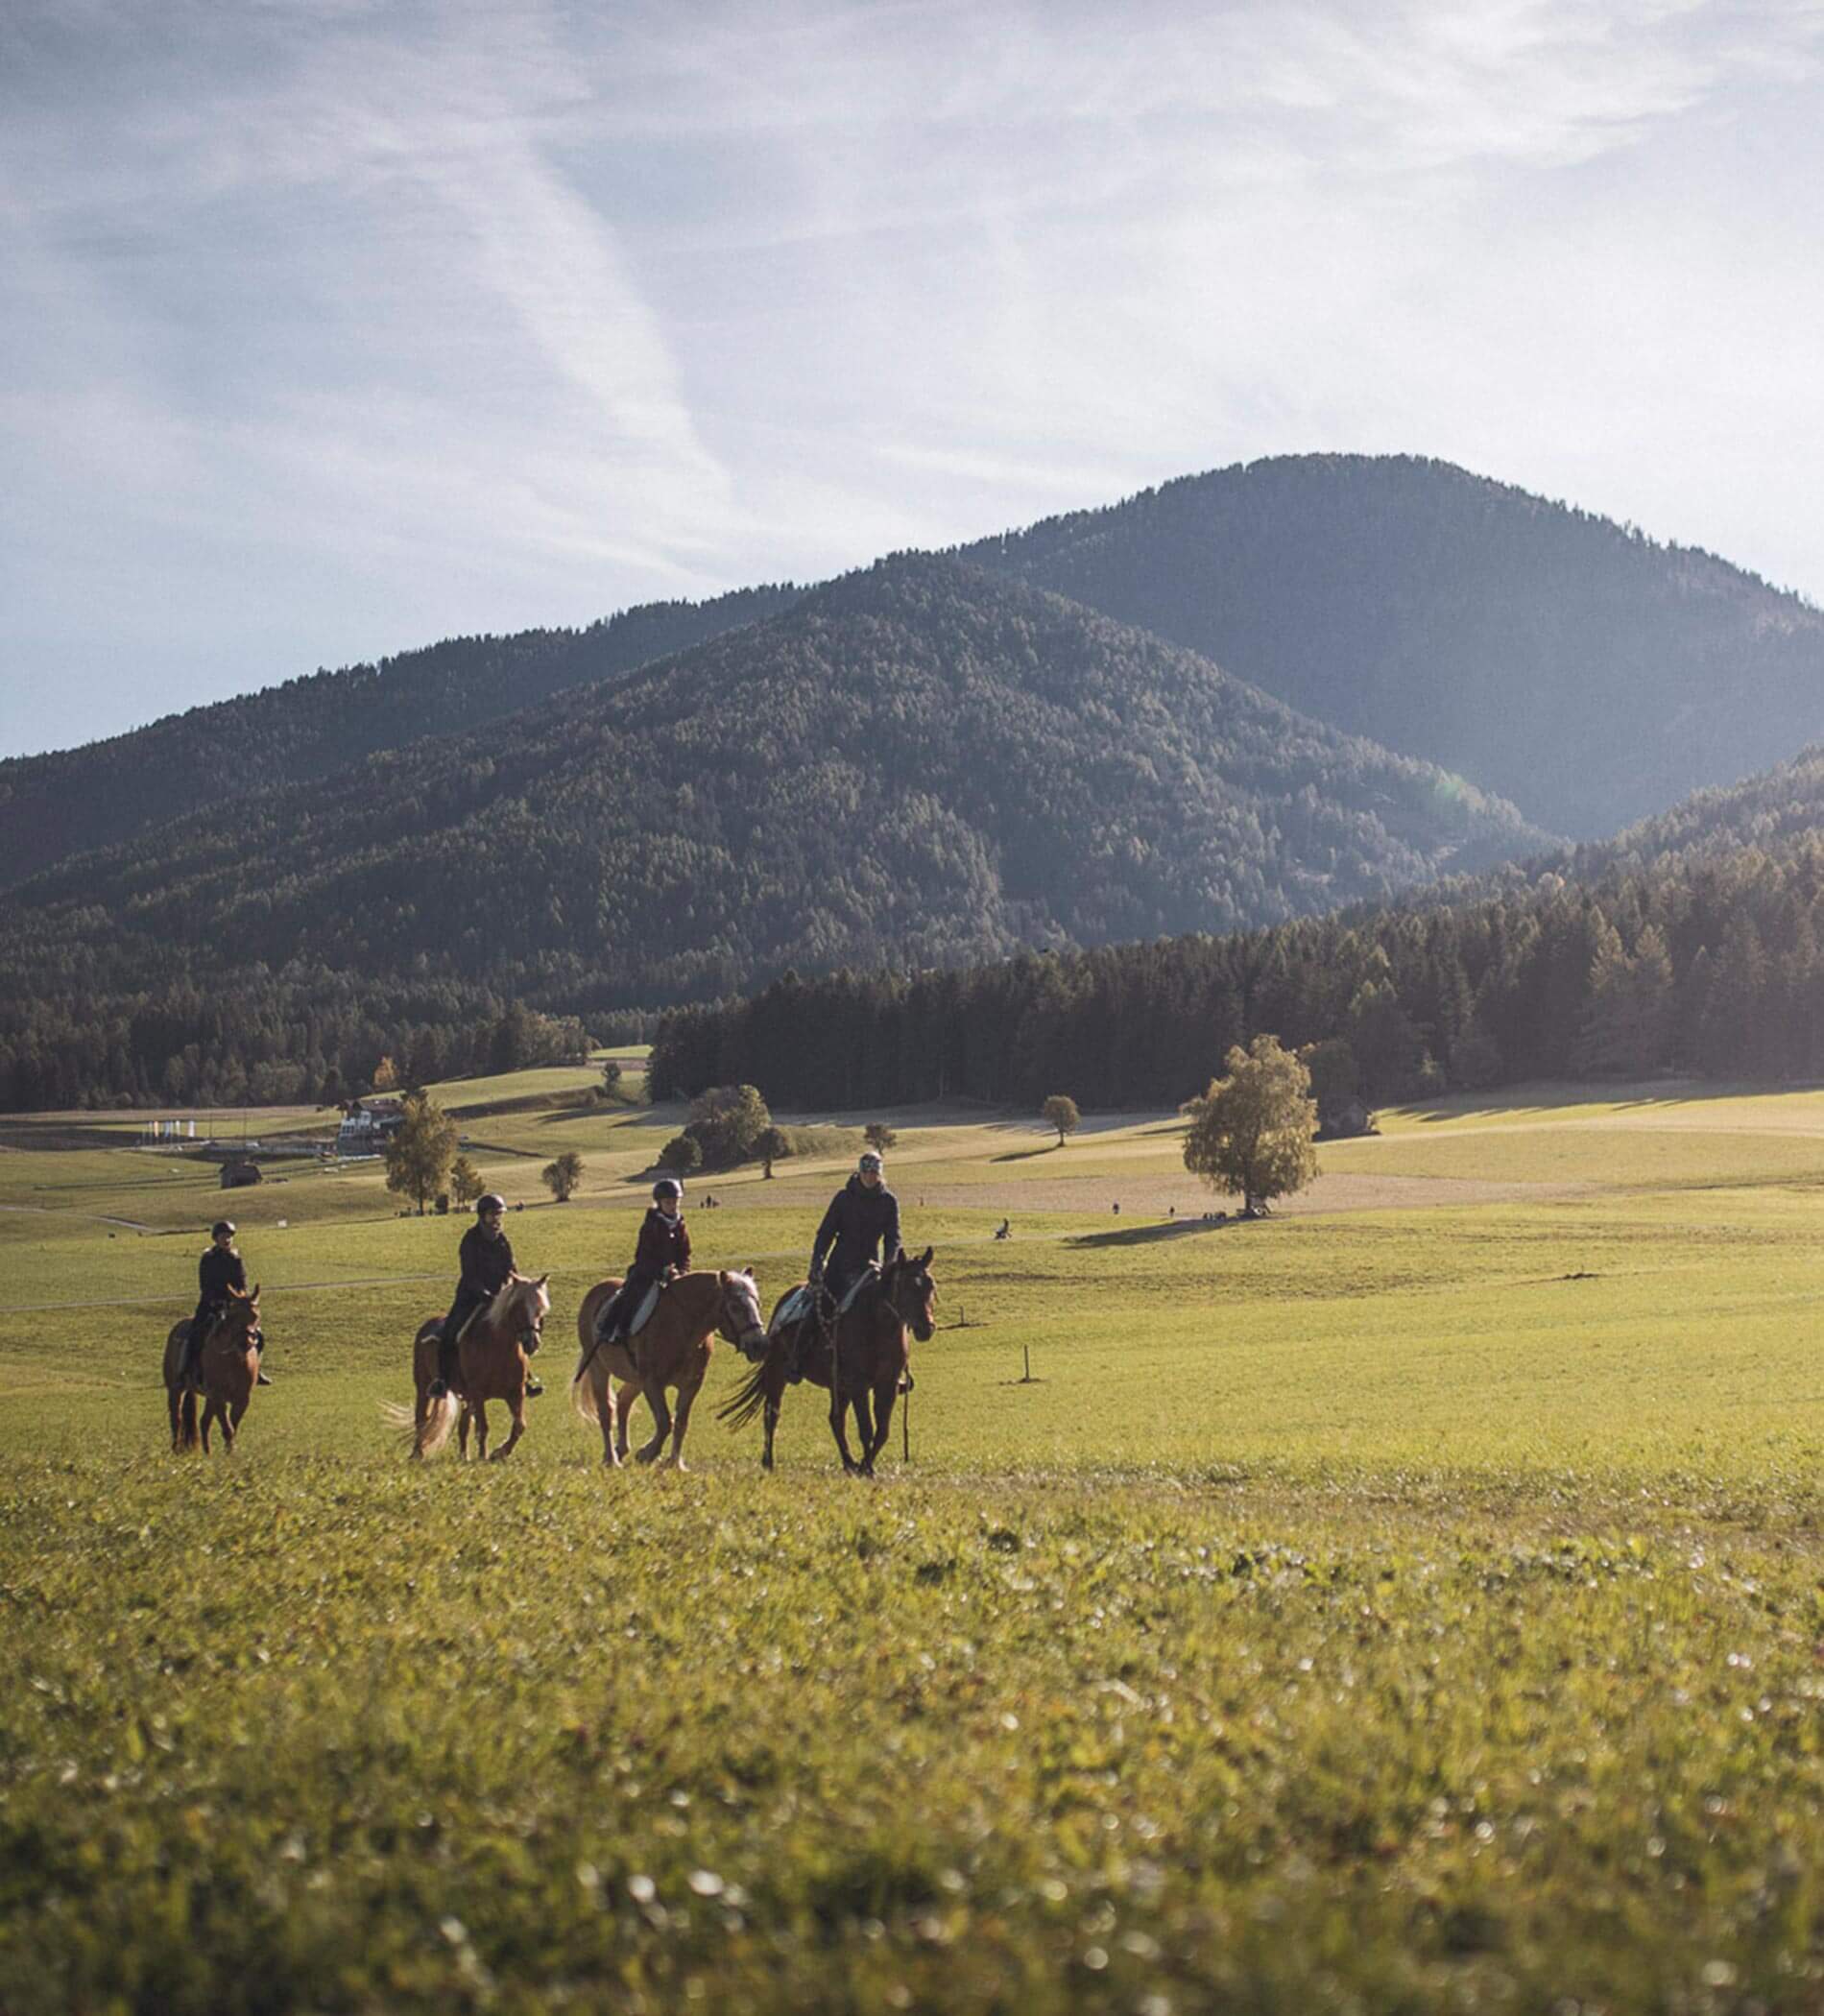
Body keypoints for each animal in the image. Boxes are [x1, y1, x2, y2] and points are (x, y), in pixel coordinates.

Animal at [162, 1284, 262, 1453]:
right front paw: (230, 1453)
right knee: (176, 1419)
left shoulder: (242, 1399)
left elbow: (232, 1426)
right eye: (233, 1315)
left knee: (204, 1421)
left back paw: (207, 1453)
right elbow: (228, 1428)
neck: (233, 1361)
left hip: (208, 1397)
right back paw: (176, 1449)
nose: (244, 1343)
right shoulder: (218, 1396)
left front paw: (230, 1452)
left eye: (255, 1315)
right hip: (176, 1390)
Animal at [404, 1272, 550, 1462]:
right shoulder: (478, 1394)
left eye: (541, 1309)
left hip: (467, 1397)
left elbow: (520, 1425)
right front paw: (483, 1456)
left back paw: (464, 1456)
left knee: (463, 1425)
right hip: (424, 1386)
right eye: (518, 1307)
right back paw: (417, 1453)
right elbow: (483, 1428)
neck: (499, 1349)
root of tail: (428, 1323)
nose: (532, 1342)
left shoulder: (516, 1393)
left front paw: (499, 1453)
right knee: (421, 1418)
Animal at [571, 1268, 766, 1470]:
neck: (682, 1324)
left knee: (623, 1401)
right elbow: (665, 1422)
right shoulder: (652, 1383)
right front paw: (647, 1453)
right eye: (735, 1306)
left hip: (636, 1379)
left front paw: (675, 1463)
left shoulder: (691, 1385)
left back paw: (621, 1449)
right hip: (598, 1367)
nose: (759, 1345)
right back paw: (611, 1459)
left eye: (757, 1303)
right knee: (606, 1411)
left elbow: (681, 1423)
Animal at [720, 1246, 935, 1475]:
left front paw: (865, 1466)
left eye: (931, 1286)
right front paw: (866, 1468)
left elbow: (882, 1431)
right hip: (776, 1371)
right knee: (772, 1413)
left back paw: (849, 1462)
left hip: (838, 1386)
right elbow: (866, 1429)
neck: (877, 1326)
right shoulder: (858, 1385)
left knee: (835, 1420)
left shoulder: (887, 1385)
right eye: (907, 1287)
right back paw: (769, 1462)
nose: (926, 1328)